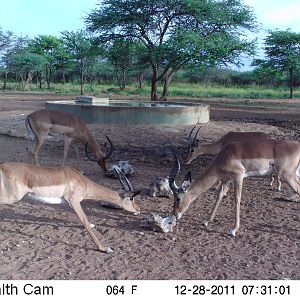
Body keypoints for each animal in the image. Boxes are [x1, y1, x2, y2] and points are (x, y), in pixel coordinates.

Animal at [0, 162, 141, 253]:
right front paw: (105, 248)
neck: (82, 181)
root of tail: (2, 166)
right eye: (131, 198)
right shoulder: (73, 201)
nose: (138, 209)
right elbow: (84, 221)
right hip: (12, 197)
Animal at [169, 139, 300, 238]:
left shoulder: (238, 176)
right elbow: (219, 196)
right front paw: (206, 221)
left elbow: (237, 199)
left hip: (287, 175)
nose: (174, 215)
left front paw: (233, 230)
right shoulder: (226, 180)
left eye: (178, 198)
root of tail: (296, 145)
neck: (225, 155)